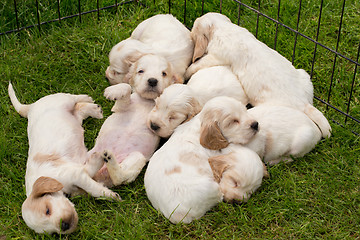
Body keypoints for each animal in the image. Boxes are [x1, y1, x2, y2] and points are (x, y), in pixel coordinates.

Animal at [8, 83, 121, 234]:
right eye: (52, 233)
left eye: (47, 210)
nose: (65, 226)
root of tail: (31, 107)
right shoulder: (78, 172)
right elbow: (90, 172)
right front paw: (97, 160)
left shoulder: (74, 175)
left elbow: (93, 189)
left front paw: (111, 196)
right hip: (73, 117)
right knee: (79, 110)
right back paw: (95, 110)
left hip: (61, 100)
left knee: (72, 98)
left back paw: (88, 99)